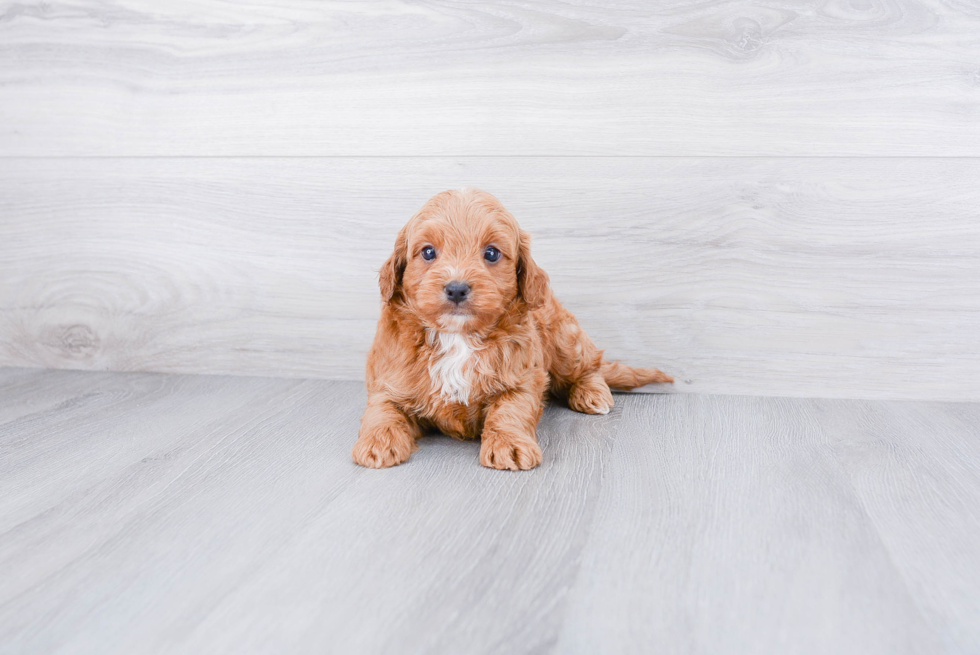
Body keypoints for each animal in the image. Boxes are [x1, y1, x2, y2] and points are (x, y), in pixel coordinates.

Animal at [352, 190, 672, 472]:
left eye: (492, 253)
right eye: (428, 252)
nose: (456, 288)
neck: (457, 337)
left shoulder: (523, 377)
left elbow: (510, 410)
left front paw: (510, 445)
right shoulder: (388, 378)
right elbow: (382, 410)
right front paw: (377, 443)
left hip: (564, 340)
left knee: (589, 366)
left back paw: (592, 393)